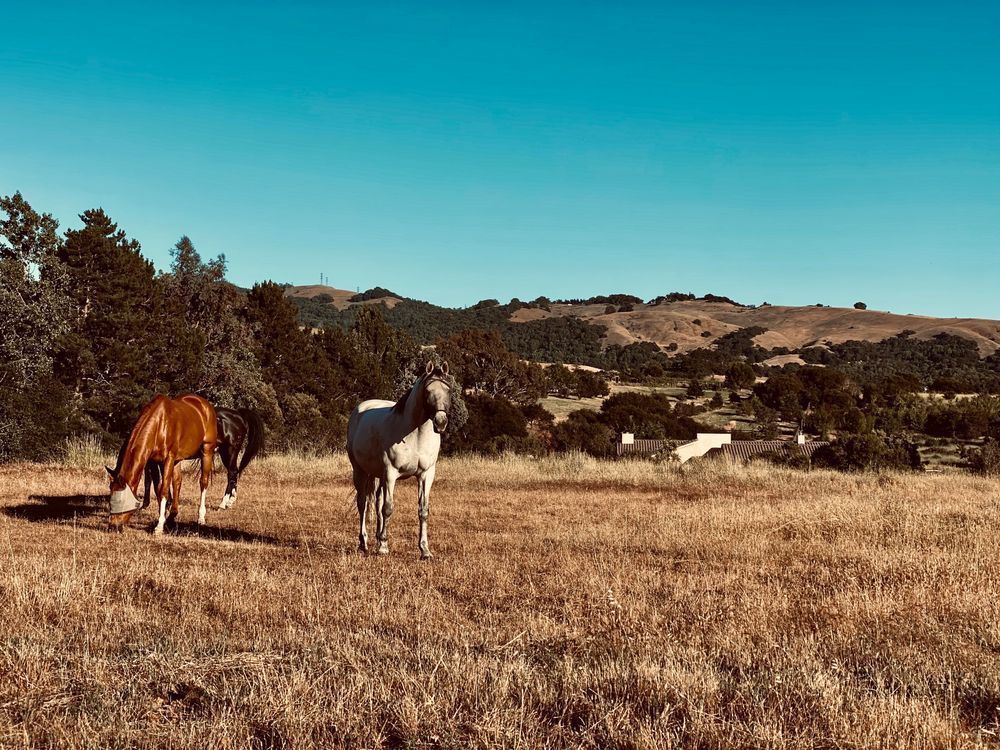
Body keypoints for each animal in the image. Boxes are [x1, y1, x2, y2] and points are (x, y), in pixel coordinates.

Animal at [106, 394, 218, 533]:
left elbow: (164, 489)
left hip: (206, 451)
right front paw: (164, 517)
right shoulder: (153, 461)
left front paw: (159, 526)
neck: (160, 424)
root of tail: (205, 405)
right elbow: (158, 488)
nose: (112, 527)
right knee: (177, 481)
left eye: (121, 500)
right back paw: (172, 516)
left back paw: (201, 517)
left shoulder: (168, 459)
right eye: (110, 497)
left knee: (203, 482)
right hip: (177, 460)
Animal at [347, 361, 452, 559]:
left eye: (448, 390)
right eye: (427, 391)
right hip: (361, 472)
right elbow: (388, 508)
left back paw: (376, 538)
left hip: (377, 475)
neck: (415, 434)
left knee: (377, 501)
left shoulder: (426, 475)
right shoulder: (390, 473)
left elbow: (423, 510)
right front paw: (384, 547)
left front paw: (425, 550)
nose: (440, 422)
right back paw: (364, 543)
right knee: (363, 504)